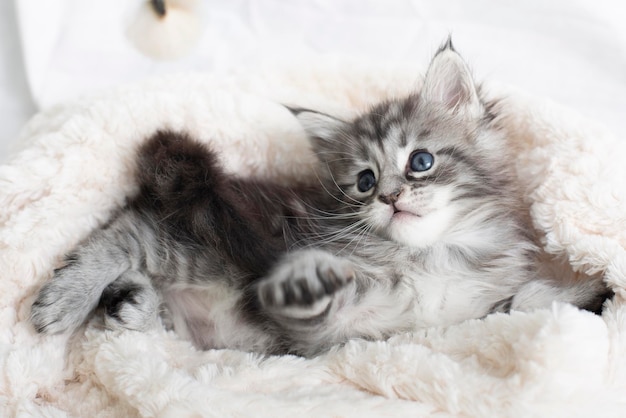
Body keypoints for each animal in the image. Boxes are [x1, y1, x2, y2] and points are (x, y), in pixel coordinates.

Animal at [30, 41, 604, 356]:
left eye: (420, 161)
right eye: (365, 181)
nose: (390, 197)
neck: (433, 254)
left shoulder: (463, 319)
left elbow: (522, 303)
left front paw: (587, 296)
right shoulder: (332, 327)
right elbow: (317, 303)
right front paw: (304, 283)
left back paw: (133, 303)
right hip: (211, 240)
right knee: (127, 231)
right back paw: (66, 298)